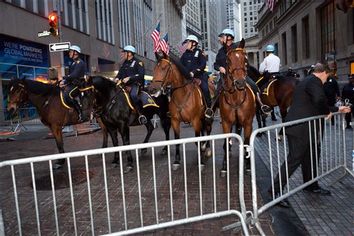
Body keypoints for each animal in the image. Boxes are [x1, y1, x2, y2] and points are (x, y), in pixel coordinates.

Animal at [220, 38, 256, 174]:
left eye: (245, 59)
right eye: (228, 60)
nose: (240, 82)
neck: (235, 98)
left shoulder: (248, 123)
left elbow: (246, 141)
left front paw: (247, 165)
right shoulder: (226, 123)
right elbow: (226, 140)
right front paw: (224, 166)